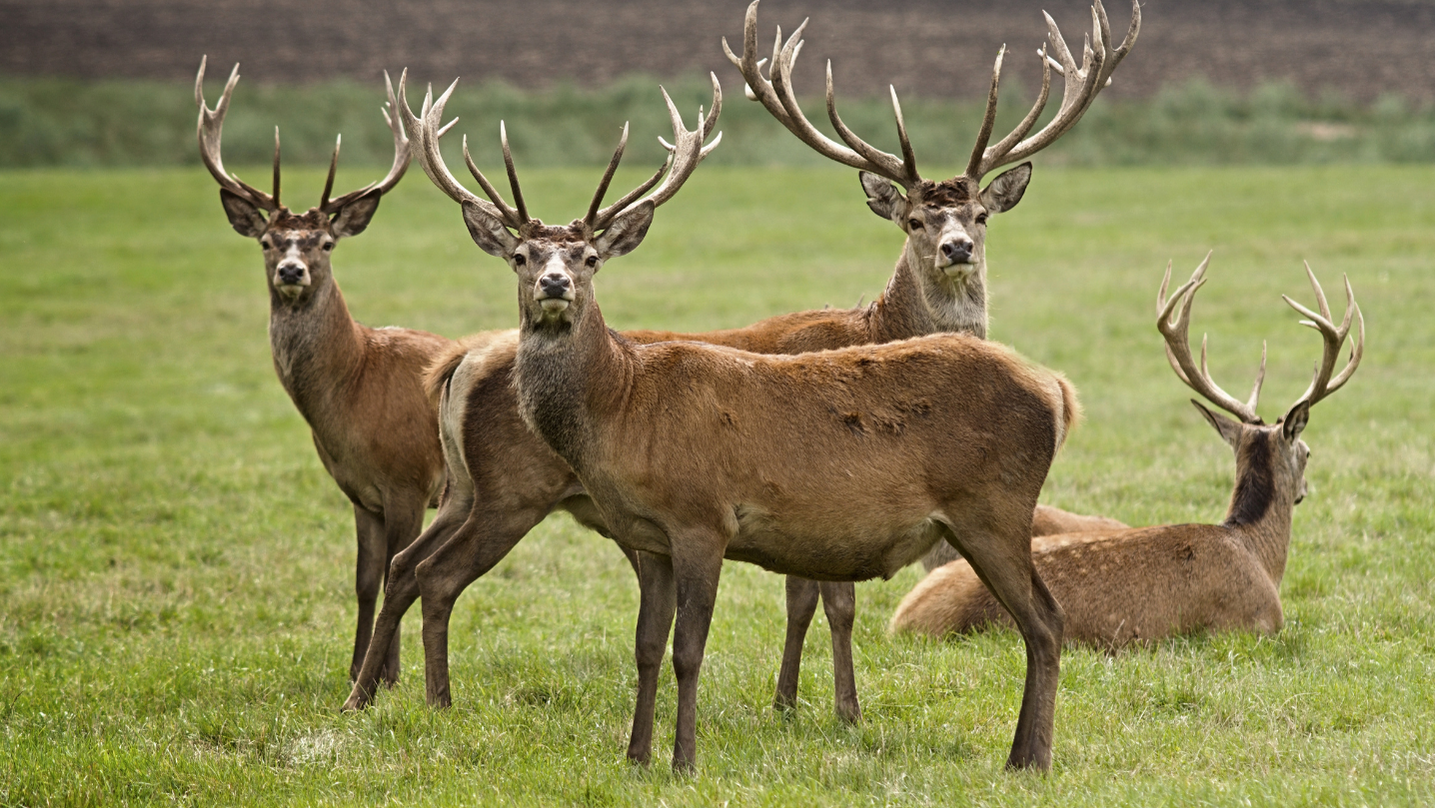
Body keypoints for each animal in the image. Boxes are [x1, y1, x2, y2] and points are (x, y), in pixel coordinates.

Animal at [196, 57, 493, 686]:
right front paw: (357, 667)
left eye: (326, 242)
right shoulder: (359, 493)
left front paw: (388, 675)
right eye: (267, 241)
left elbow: (396, 573)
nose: (292, 270)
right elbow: (362, 581)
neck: (354, 390)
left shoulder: (408, 481)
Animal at [342, 0, 1139, 732]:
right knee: (433, 576)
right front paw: (831, 708)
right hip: (511, 490)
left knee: (407, 567)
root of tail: (459, 360)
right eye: (914, 218)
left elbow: (806, 595)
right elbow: (827, 599)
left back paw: (374, 691)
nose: (956, 248)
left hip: (465, 488)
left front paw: (793, 702)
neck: (877, 326)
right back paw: (418, 699)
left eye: (979, 214)